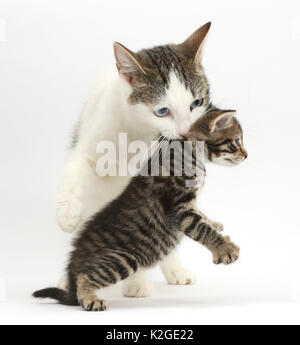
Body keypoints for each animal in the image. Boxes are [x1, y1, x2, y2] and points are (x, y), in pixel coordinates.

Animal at [34, 107, 247, 310]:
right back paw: (91, 299)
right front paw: (225, 248)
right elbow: (201, 228)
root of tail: (74, 258)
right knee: (85, 277)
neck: (186, 150)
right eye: (236, 141)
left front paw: (217, 225)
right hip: (121, 259)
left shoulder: (189, 206)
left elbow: (203, 218)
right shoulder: (179, 209)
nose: (246, 155)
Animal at [56, 22, 212, 296]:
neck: (137, 131)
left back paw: (170, 270)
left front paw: (138, 281)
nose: (185, 132)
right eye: (162, 111)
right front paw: (66, 214)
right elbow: (75, 169)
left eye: (197, 102)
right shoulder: (90, 142)